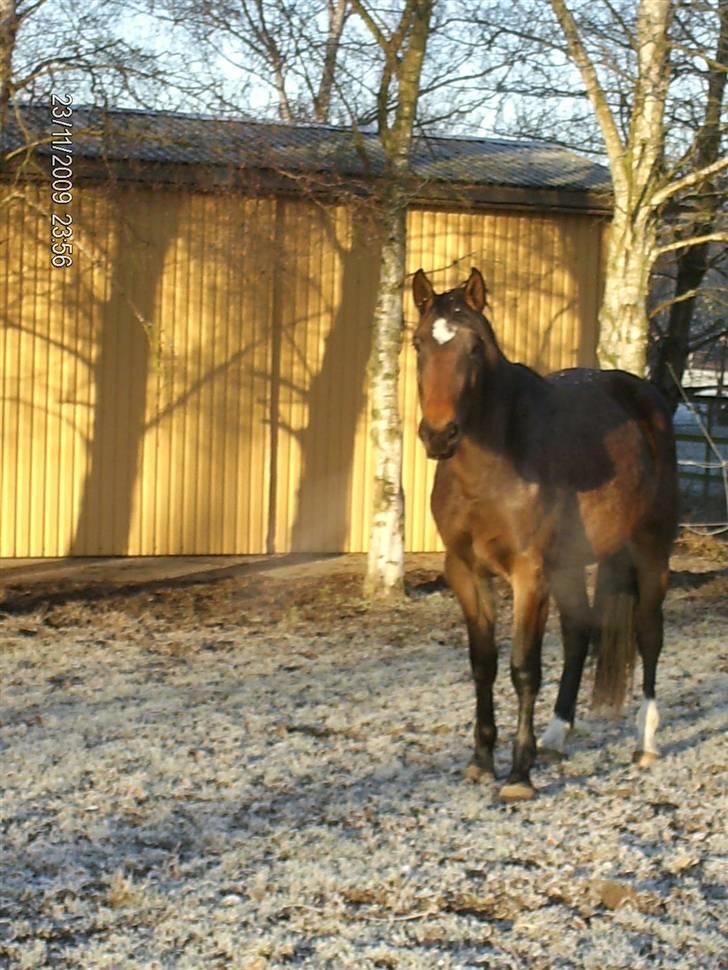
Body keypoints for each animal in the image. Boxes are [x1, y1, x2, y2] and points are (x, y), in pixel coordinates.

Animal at [410, 266, 676, 800]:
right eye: (417, 343)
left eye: (475, 346)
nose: (439, 435)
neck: (493, 466)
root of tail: (647, 397)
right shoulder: (465, 571)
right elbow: (483, 664)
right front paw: (482, 760)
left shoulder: (529, 574)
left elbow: (523, 668)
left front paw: (518, 775)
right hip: (571, 565)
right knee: (579, 634)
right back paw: (555, 736)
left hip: (651, 552)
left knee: (649, 635)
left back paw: (645, 742)